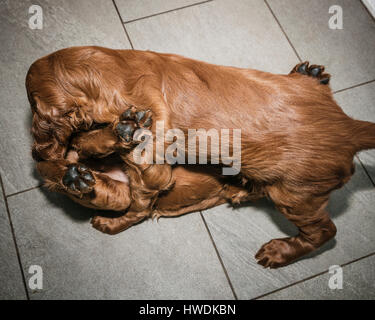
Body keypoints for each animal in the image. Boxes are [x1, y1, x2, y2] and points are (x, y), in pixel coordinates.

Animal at [27, 47, 375, 268]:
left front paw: (116, 131)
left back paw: (279, 252)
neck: (120, 70)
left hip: (294, 194)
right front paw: (112, 133)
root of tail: (347, 127)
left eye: (34, 106)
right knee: (101, 189)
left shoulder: (152, 162)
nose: (34, 151)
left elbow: (134, 190)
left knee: (325, 232)